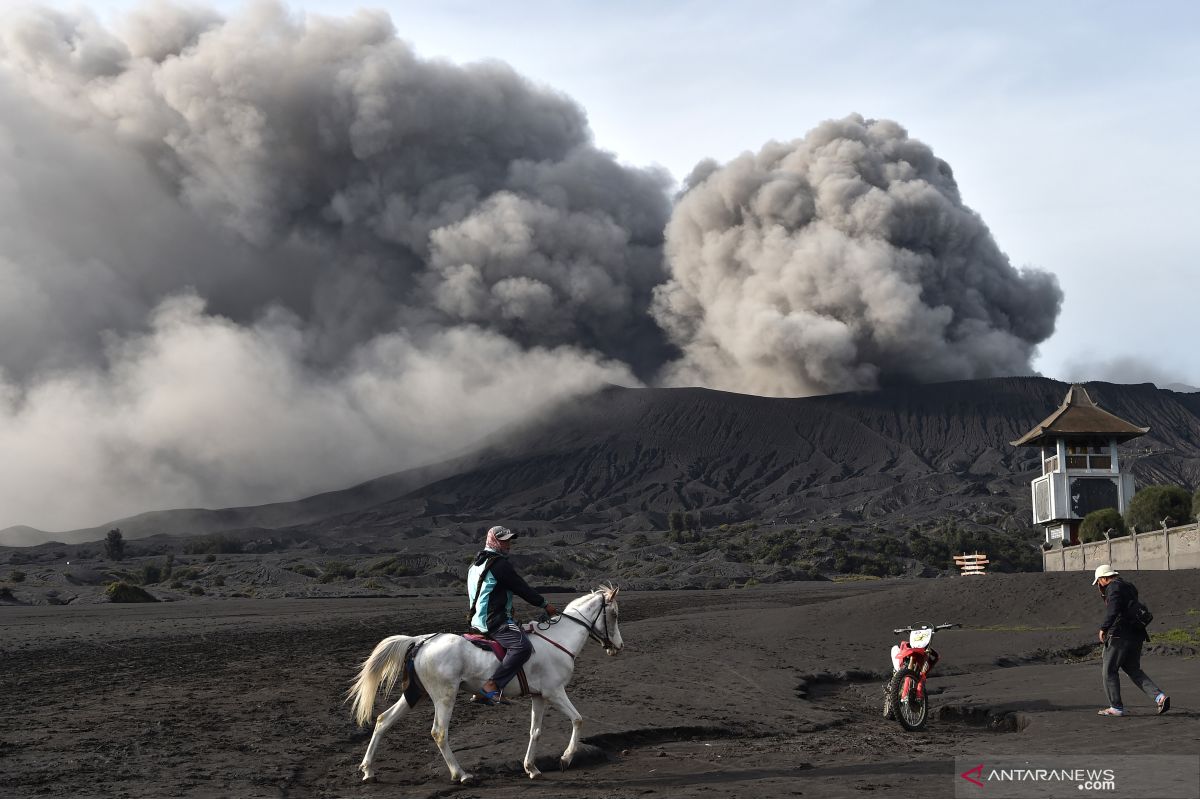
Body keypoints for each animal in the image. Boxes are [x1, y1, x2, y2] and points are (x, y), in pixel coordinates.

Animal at [348, 585, 624, 786]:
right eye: (614, 615)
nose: (618, 647)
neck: (558, 640)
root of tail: (421, 641)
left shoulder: (539, 696)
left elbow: (535, 732)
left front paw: (531, 768)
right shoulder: (555, 692)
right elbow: (578, 719)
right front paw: (565, 759)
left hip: (416, 694)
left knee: (383, 720)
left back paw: (368, 770)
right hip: (444, 696)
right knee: (439, 732)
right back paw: (461, 774)